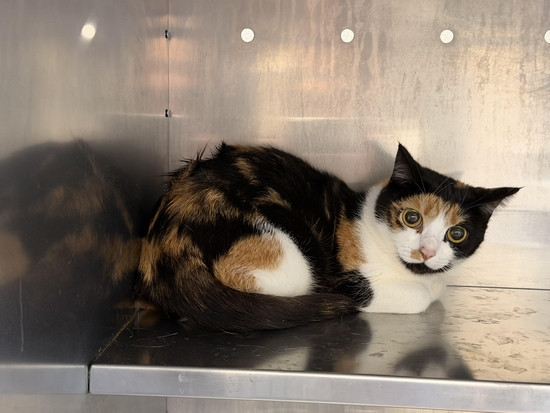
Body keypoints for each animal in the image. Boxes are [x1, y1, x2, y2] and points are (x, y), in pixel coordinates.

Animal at [136, 143, 519, 332]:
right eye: (412, 218)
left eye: (457, 233)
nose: (426, 251)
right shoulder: (352, 282)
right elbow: (422, 298)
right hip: (291, 256)